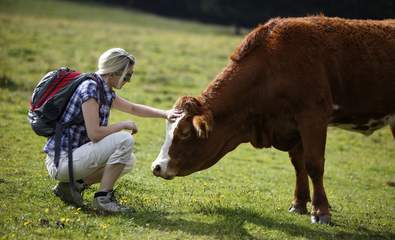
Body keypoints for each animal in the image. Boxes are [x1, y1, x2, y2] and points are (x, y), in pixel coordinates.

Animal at [151, 15, 395, 224]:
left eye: (185, 133)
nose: (157, 166)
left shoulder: (313, 116)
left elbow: (314, 164)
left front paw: (321, 211)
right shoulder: (292, 125)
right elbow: (299, 164)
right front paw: (299, 204)